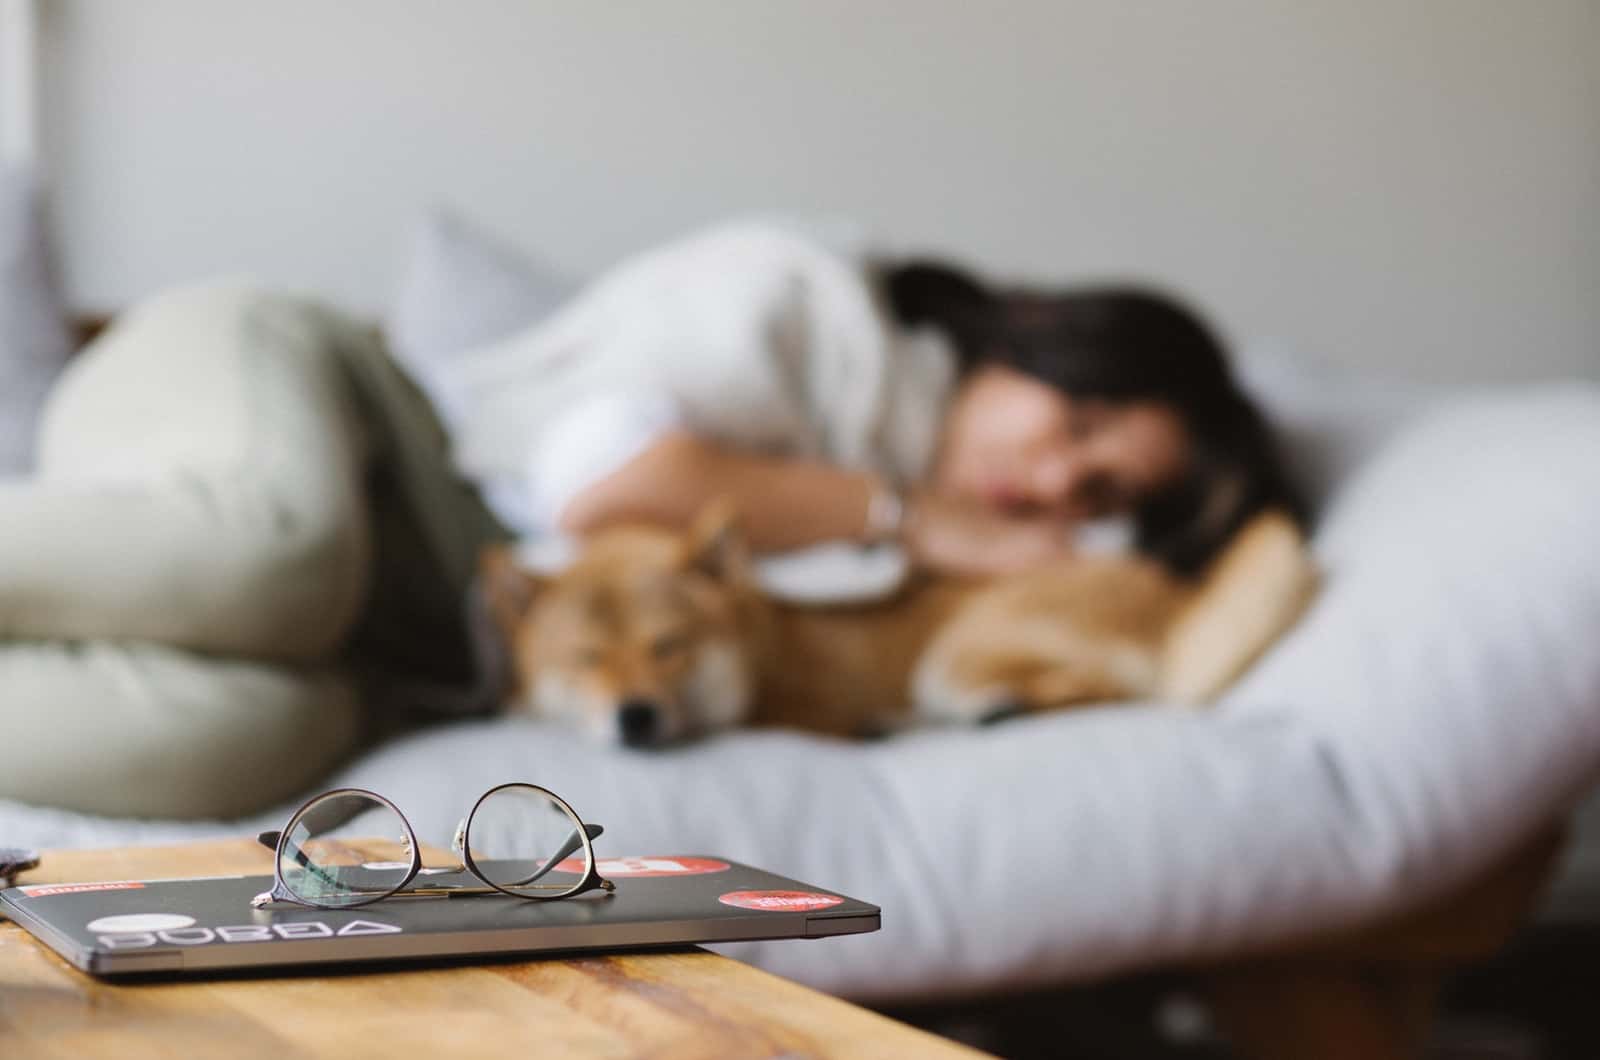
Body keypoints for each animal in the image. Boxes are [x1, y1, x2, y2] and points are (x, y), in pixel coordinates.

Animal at [480, 505, 1318, 746]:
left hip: (954, 654)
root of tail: (1179, 594)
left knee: (1106, 689)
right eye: (585, 658)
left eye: (669, 647)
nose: (636, 716)